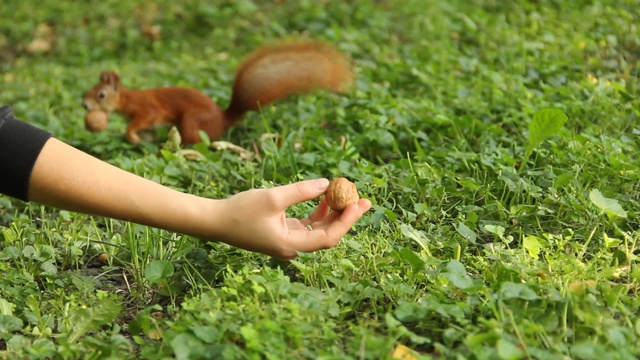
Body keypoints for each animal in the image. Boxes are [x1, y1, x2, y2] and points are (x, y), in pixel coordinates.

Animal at [80, 39, 356, 145]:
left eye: (101, 95)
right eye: (89, 90)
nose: (85, 105)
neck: (127, 99)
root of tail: (223, 119)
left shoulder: (147, 109)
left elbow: (142, 120)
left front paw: (131, 135)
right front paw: (139, 139)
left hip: (192, 121)